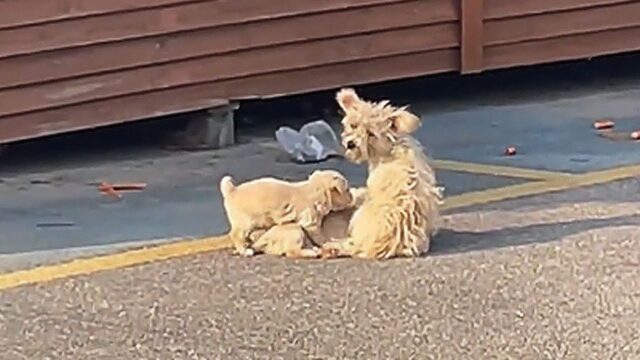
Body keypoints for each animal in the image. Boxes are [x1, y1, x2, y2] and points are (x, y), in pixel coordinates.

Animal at [219, 170, 350, 258]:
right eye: (347, 190)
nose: (351, 195)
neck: (316, 187)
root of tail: (232, 190)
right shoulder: (310, 222)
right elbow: (319, 235)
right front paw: (326, 242)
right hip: (246, 222)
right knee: (236, 235)